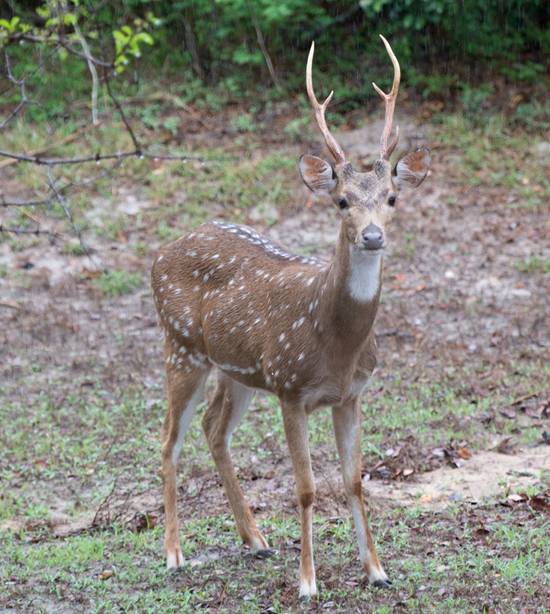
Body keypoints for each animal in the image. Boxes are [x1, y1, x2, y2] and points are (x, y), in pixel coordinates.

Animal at [151, 35, 432, 600]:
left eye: (392, 197)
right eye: (341, 201)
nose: (372, 235)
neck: (335, 344)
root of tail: (159, 254)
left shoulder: (351, 395)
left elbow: (354, 480)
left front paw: (376, 570)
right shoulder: (290, 388)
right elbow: (304, 488)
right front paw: (307, 582)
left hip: (235, 370)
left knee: (214, 430)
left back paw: (255, 539)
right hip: (182, 347)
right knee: (169, 441)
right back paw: (173, 554)